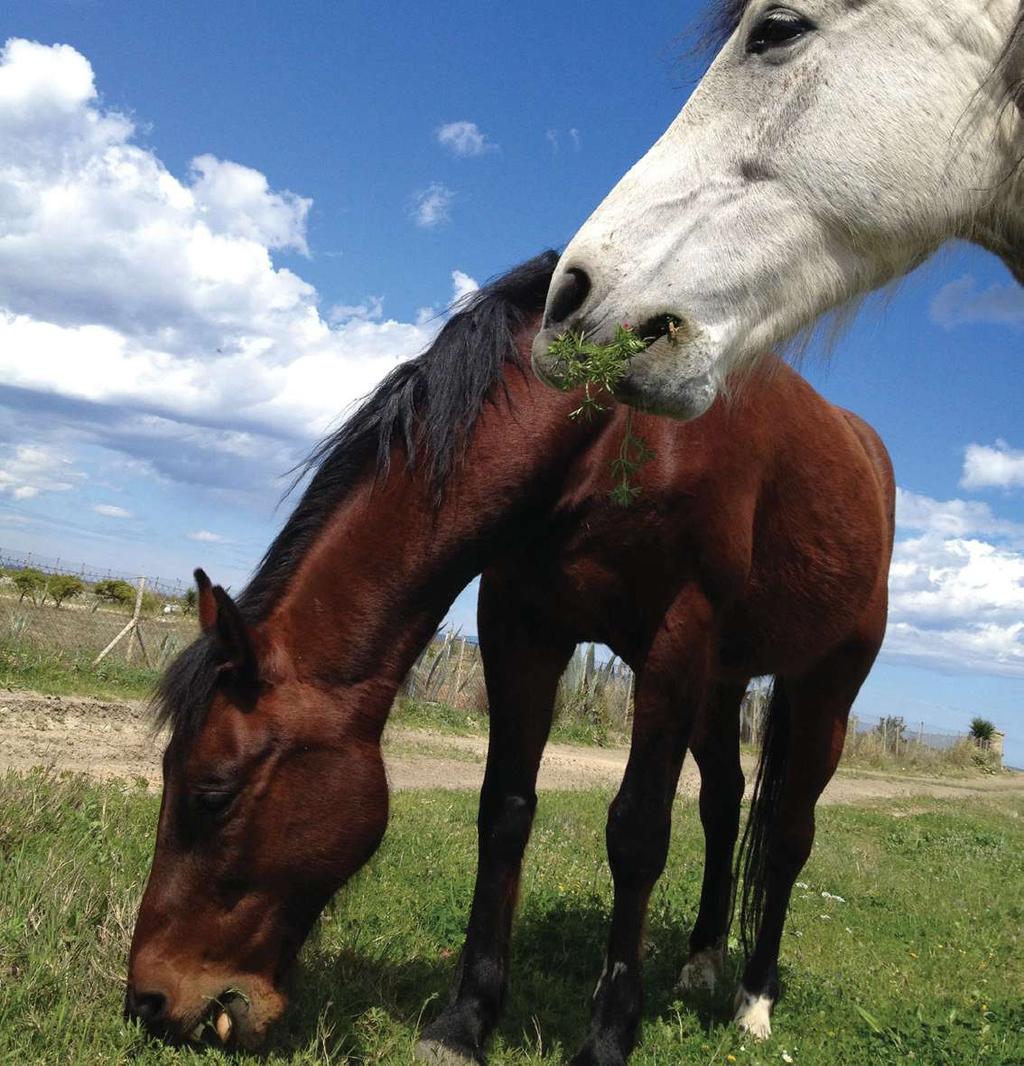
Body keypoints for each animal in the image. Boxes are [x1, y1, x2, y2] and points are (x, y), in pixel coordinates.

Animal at [127, 251, 890, 1066]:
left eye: (213, 794)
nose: (149, 1001)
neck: (605, 430)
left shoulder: (674, 642)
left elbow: (638, 833)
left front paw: (608, 1036)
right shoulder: (519, 627)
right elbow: (504, 811)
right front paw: (466, 1020)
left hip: (826, 687)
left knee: (787, 837)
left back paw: (754, 999)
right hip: (722, 685)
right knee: (722, 804)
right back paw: (702, 961)